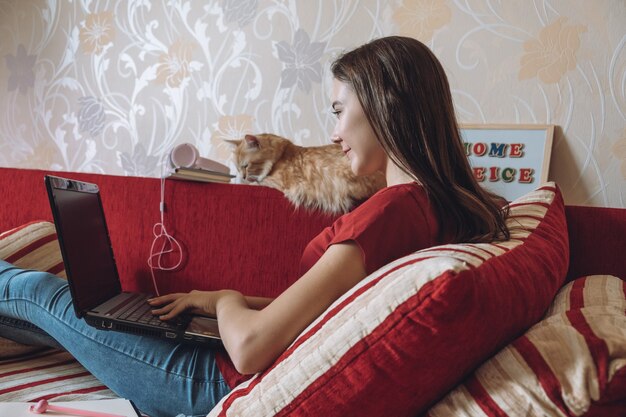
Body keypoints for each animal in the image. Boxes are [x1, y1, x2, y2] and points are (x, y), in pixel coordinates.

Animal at [223, 133, 380, 213]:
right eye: (238, 168)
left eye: (246, 166)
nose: (242, 176)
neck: (281, 155)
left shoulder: (276, 183)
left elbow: (257, 183)